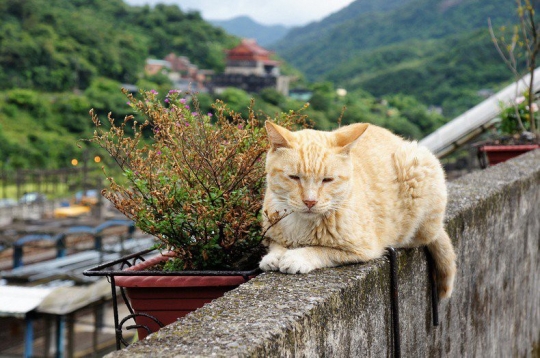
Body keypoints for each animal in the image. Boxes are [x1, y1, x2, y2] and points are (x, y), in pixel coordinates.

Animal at [260, 121, 458, 300]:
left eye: (327, 180)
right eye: (294, 177)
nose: (310, 201)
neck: (300, 225)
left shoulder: (362, 250)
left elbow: (320, 250)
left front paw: (296, 257)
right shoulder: (270, 235)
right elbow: (276, 245)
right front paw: (274, 256)